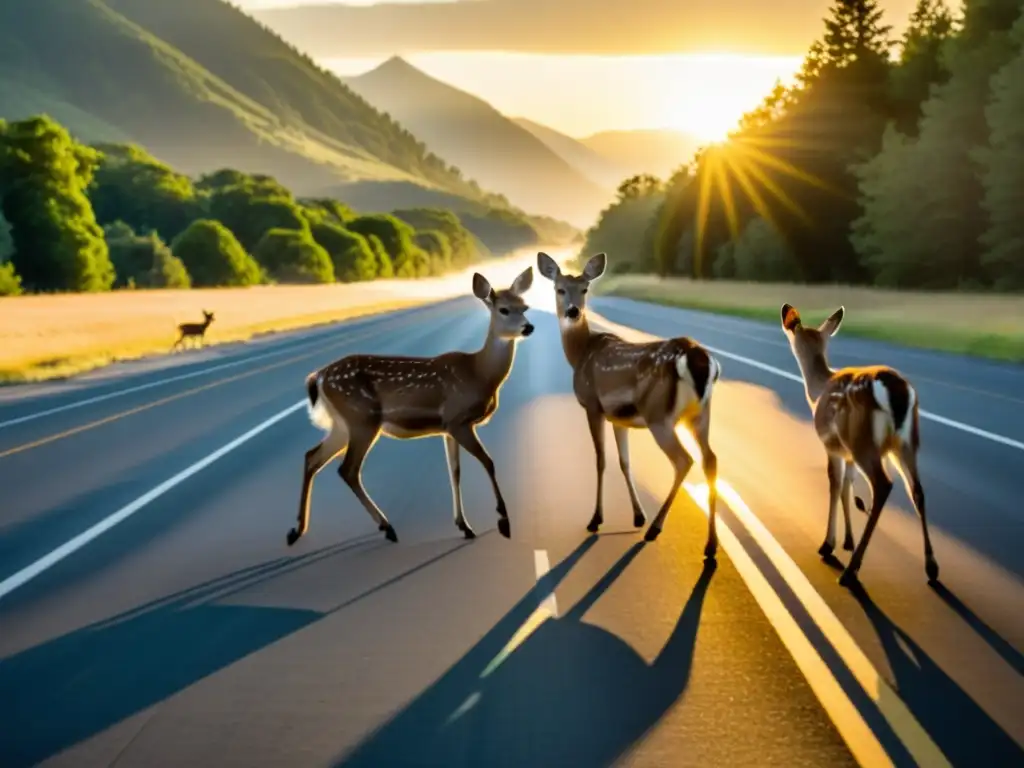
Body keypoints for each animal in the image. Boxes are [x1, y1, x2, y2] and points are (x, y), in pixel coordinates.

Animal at [288, 268, 536, 548]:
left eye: (525, 306)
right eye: (504, 309)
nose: (528, 327)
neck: (480, 374)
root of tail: (318, 376)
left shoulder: (448, 427)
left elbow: (454, 472)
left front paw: (465, 526)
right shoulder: (458, 419)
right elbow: (488, 462)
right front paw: (503, 521)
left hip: (343, 424)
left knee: (312, 457)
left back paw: (297, 530)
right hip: (362, 418)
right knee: (348, 469)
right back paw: (387, 527)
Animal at [536, 252, 720, 561]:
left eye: (584, 288)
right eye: (559, 289)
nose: (572, 311)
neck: (579, 354)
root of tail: (698, 357)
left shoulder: (592, 405)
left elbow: (600, 460)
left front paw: (596, 519)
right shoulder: (619, 418)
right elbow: (625, 462)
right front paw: (637, 516)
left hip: (659, 415)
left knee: (684, 460)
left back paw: (656, 529)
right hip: (701, 414)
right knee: (711, 460)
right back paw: (709, 546)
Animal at [778, 303, 937, 585]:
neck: (816, 392)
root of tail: (897, 391)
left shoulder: (831, 444)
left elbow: (834, 484)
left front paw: (828, 544)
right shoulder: (848, 453)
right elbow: (846, 486)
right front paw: (848, 541)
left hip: (864, 441)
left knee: (883, 484)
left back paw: (852, 570)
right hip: (907, 442)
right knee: (916, 489)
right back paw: (931, 567)